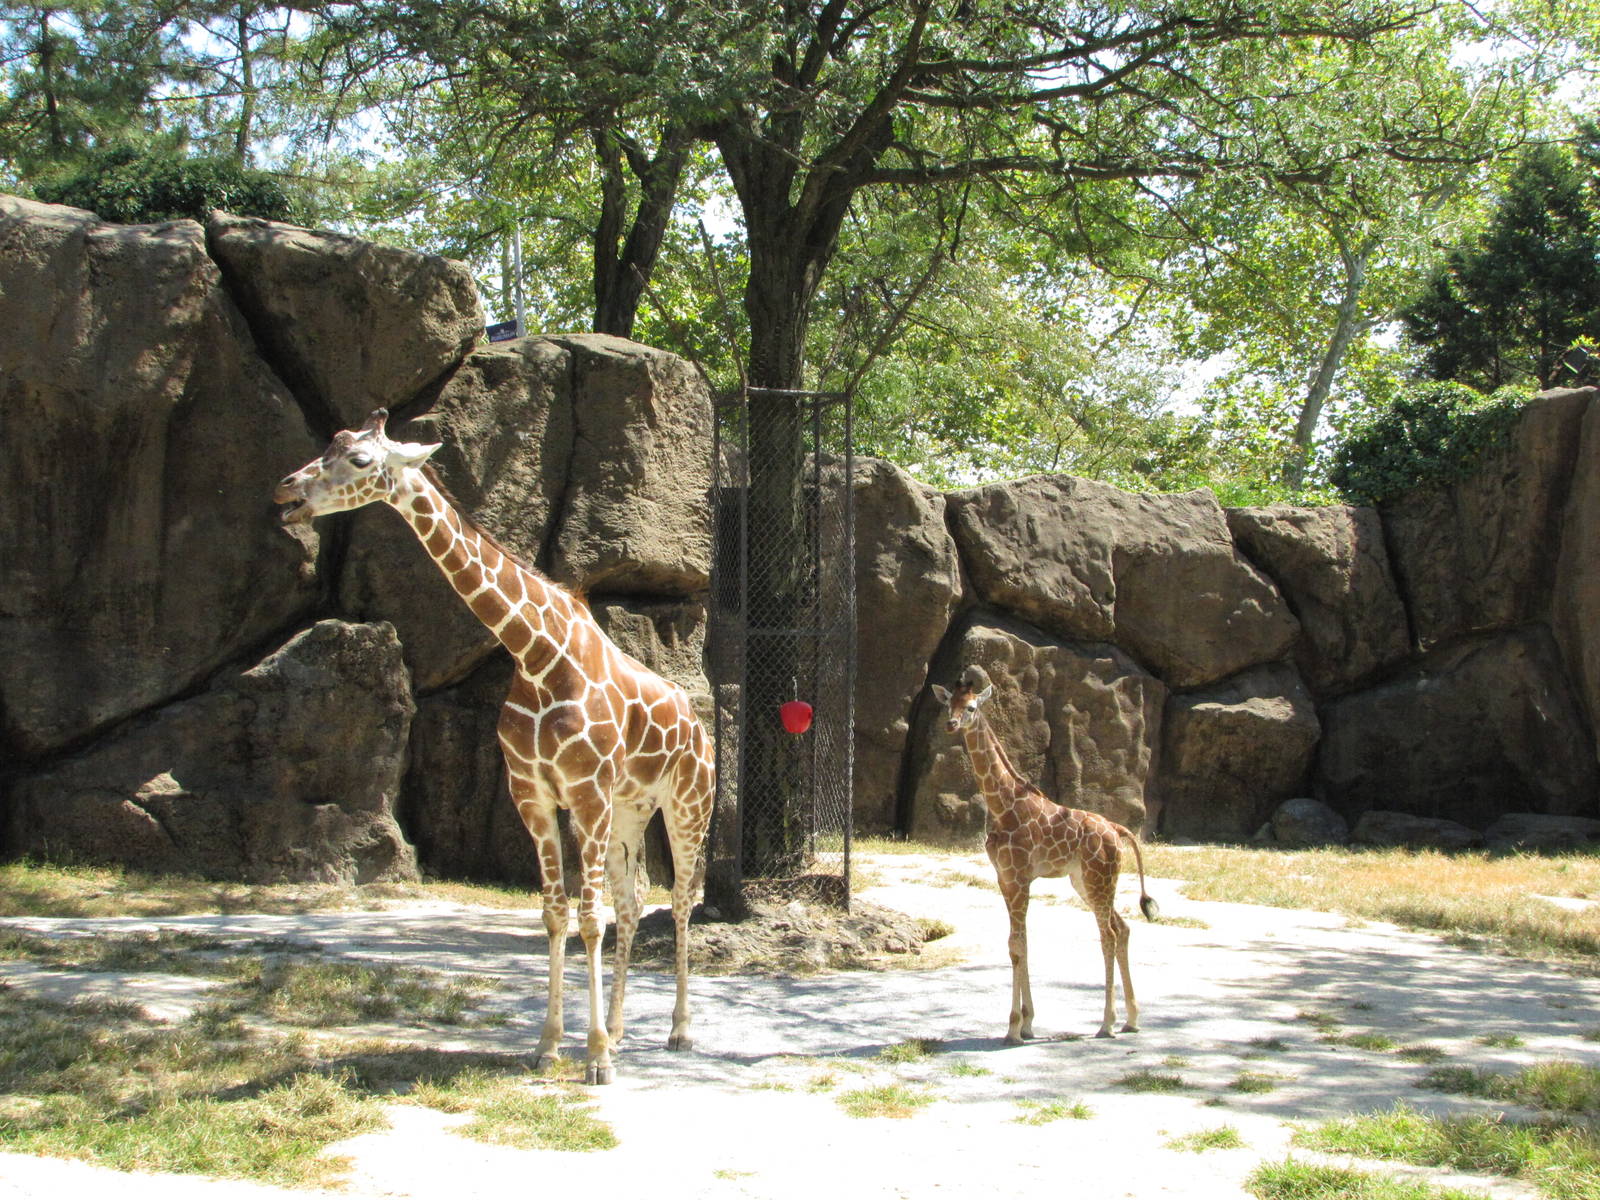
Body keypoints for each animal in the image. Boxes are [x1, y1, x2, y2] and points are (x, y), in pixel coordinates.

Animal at [275, 408, 715, 1085]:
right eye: (330, 444)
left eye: (359, 460)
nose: (287, 491)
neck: (535, 653)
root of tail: (701, 726)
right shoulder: (532, 794)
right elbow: (556, 913)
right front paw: (550, 1045)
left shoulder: (585, 793)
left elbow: (588, 918)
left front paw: (593, 1059)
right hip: (629, 812)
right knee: (635, 901)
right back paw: (620, 1030)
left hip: (687, 804)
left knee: (683, 899)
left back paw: (679, 1032)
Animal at [932, 665, 1158, 1042]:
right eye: (948, 704)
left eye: (972, 707)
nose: (951, 724)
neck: (1003, 805)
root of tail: (1118, 830)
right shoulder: (1005, 878)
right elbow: (1018, 944)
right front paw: (1027, 1023)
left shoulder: (1020, 878)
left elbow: (1017, 945)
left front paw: (1013, 1028)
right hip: (1085, 881)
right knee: (1123, 927)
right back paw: (1132, 1019)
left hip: (1098, 878)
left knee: (1109, 934)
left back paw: (1107, 1023)